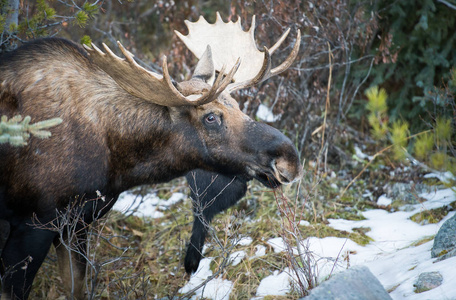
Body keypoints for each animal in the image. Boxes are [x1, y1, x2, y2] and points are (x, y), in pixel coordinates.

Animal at [0, 12, 302, 298]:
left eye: (238, 105)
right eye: (211, 117)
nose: (289, 158)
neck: (118, 165)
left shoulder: (75, 224)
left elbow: (76, 288)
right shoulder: (34, 223)